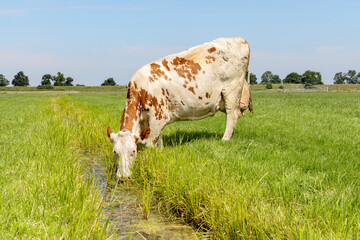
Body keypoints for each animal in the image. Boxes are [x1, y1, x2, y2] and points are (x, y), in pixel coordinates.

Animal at [107, 36, 253, 178]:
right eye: (115, 152)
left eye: (133, 151)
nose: (123, 176)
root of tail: (239, 39)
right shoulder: (150, 121)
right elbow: (159, 141)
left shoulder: (157, 117)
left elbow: (150, 144)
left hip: (232, 91)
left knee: (232, 115)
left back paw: (225, 139)